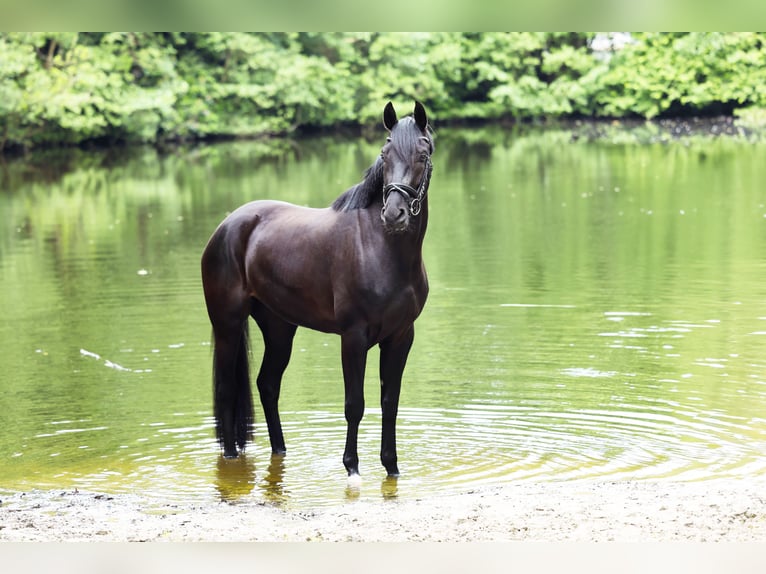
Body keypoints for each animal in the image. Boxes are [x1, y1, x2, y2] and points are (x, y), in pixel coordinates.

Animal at [201, 101, 436, 480]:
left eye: (423, 154)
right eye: (384, 154)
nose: (394, 214)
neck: (382, 248)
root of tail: (228, 225)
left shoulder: (401, 336)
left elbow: (390, 403)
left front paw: (391, 466)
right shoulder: (353, 337)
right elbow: (355, 404)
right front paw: (352, 468)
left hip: (279, 328)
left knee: (267, 385)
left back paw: (280, 451)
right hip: (227, 324)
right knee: (225, 390)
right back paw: (232, 456)